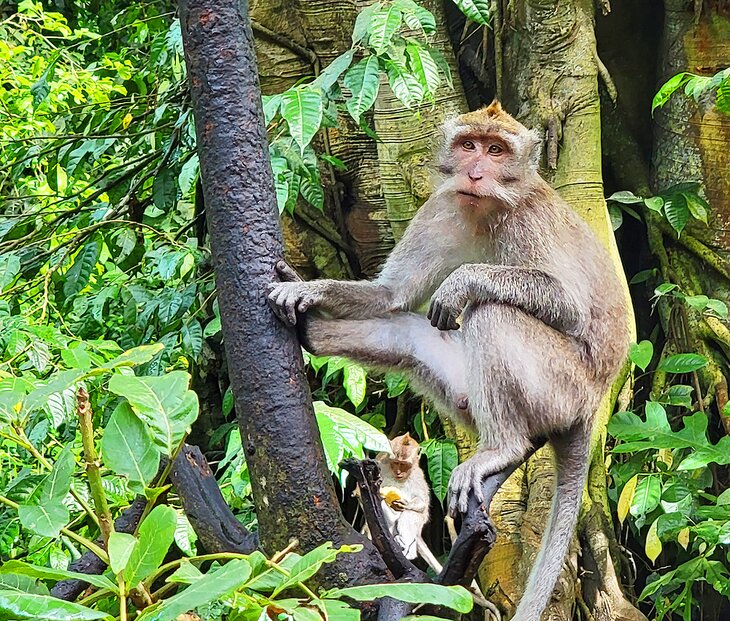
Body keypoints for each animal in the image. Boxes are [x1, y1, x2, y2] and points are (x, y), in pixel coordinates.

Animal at [266, 101, 624, 620]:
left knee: (492, 313)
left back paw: (503, 448)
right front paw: (309, 291)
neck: (487, 209)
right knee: (412, 329)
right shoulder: (440, 208)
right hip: (469, 394)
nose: (474, 173)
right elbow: (392, 296)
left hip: (561, 388)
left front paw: (463, 280)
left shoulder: (529, 223)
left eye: (497, 150)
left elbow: (570, 306)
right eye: (468, 145)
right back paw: (313, 332)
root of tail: (591, 409)